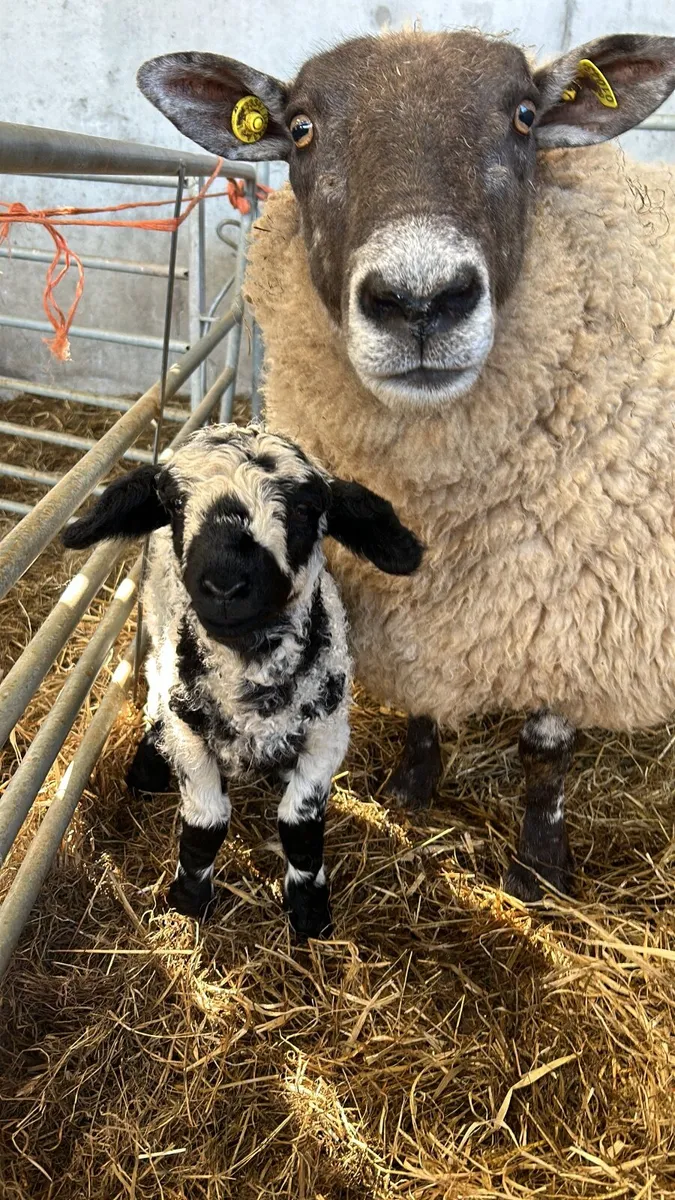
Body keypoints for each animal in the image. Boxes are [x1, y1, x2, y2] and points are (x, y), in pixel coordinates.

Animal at [62, 425, 422, 938]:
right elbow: (206, 821)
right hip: (157, 626)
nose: (225, 585)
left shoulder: (328, 736)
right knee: (153, 690)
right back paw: (148, 766)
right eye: (175, 503)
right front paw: (189, 900)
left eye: (305, 510)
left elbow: (300, 826)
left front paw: (310, 910)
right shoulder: (192, 737)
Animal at [137, 31, 675, 901]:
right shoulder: (415, 610)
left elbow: (544, 751)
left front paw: (538, 864)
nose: (419, 302)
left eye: (524, 117)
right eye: (300, 130)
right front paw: (412, 787)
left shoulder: (579, 616)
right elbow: (422, 706)